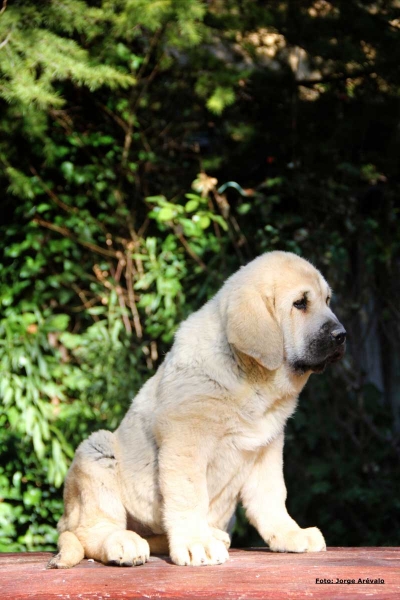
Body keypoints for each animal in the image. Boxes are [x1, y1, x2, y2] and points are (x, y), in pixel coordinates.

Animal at [48, 251, 346, 568]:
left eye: (327, 300)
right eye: (300, 303)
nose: (342, 335)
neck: (251, 379)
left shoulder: (266, 448)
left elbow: (272, 498)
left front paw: (290, 534)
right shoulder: (185, 442)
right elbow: (189, 495)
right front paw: (196, 543)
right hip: (96, 452)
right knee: (90, 531)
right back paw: (124, 542)